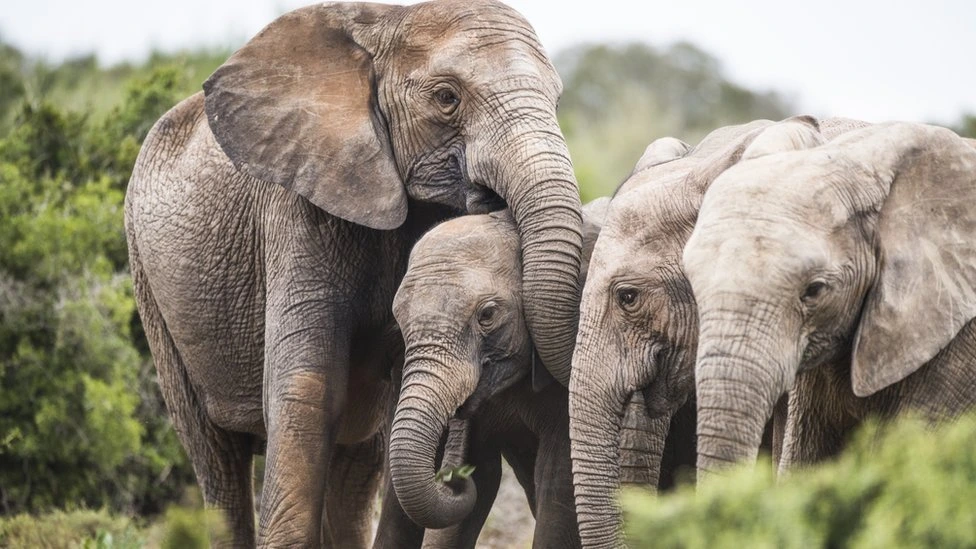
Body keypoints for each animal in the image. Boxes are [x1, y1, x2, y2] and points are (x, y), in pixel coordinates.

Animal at [124, 1, 584, 546]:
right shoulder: (298, 208)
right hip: (150, 288)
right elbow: (308, 389)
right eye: (446, 98)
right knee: (216, 459)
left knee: (354, 468)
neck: (386, 25)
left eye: (557, 100)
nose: (459, 479)